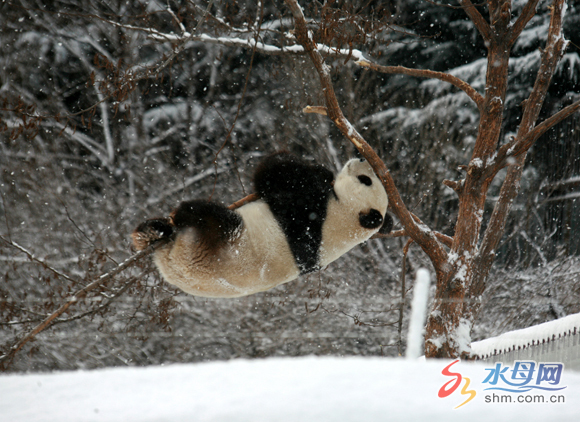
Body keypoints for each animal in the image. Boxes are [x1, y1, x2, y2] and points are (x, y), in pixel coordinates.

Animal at [134, 152, 392, 296]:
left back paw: (179, 215)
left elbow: (275, 175)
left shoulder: (308, 216)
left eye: (364, 180)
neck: (347, 222)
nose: (362, 158)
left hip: (219, 241)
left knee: (212, 216)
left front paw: (318, 172)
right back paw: (153, 228)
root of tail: (173, 263)